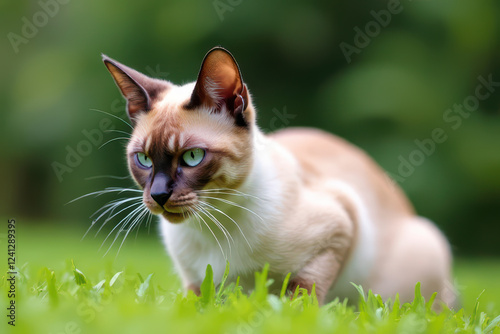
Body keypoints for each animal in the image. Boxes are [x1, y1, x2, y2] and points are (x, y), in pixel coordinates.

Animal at [102, 46, 458, 306]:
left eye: (192, 157)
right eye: (144, 160)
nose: (159, 195)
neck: (212, 226)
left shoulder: (340, 227)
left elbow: (301, 296)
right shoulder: (195, 282)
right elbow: (193, 306)